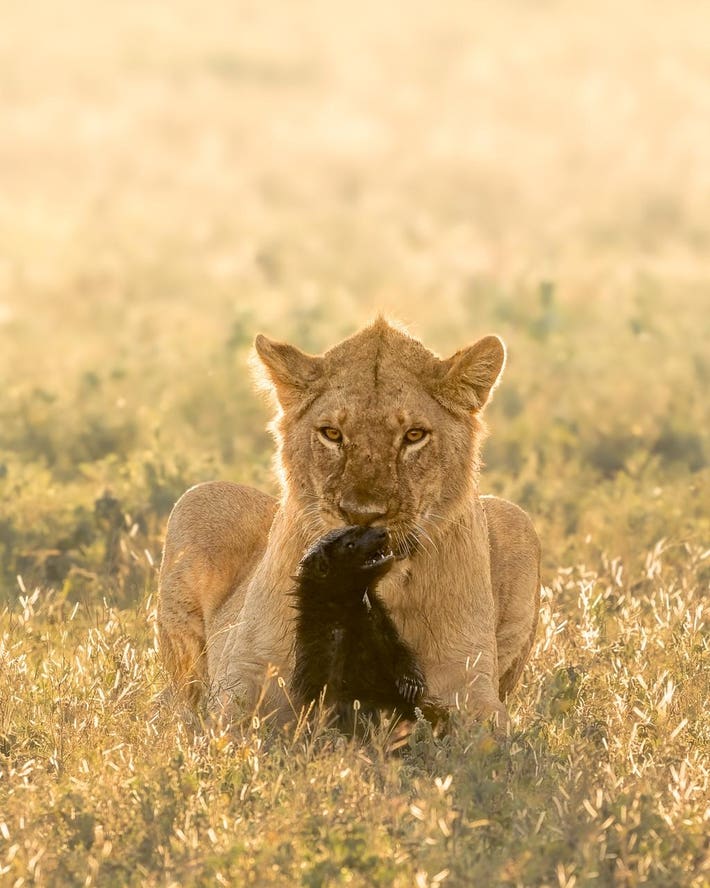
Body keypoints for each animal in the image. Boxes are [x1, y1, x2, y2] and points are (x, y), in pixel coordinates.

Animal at [157, 317, 541, 728]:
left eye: (414, 435)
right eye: (332, 434)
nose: (362, 515)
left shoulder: (468, 682)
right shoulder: (247, 672)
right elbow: (235, 724)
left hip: (517, 519)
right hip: (197, 499)